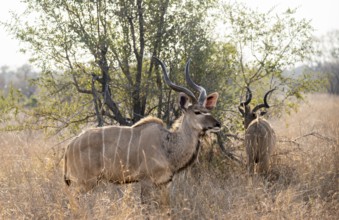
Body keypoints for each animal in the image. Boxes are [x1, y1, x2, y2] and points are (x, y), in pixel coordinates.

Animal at [63, 56, 223, 206]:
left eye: (208, 110)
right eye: (197, 112)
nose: (217, 124)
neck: (168, 145)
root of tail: (70, 145)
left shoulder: (164, 184)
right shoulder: (146, 181)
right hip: (85, 181)